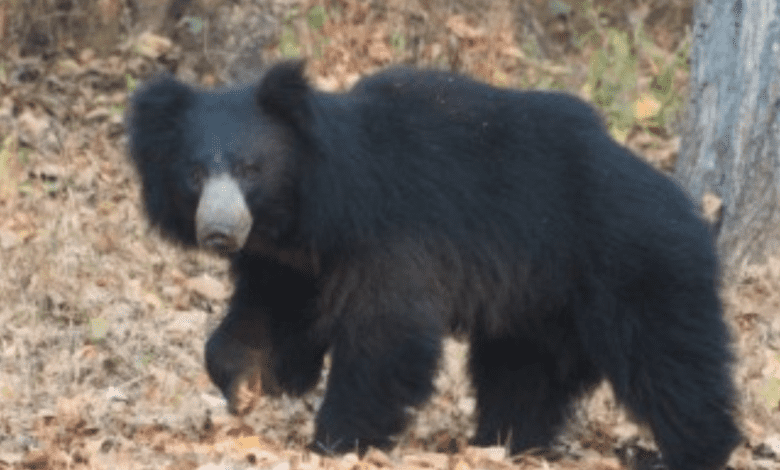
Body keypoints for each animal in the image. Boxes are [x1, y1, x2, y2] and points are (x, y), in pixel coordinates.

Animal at [127, 60, 740, 469]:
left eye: (250, 170)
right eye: (195, 175)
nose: (219, 232)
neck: (307, 211)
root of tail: (687, 205)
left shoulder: (392, 233)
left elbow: (386, 334)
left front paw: (336, 441)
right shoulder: (290, 262)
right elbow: (263, 319)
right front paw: (247, 386)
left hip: (634, 265)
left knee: (669, 361)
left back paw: (689, 449)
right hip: (538, 300)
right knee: (524, 372)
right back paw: (506, 442)